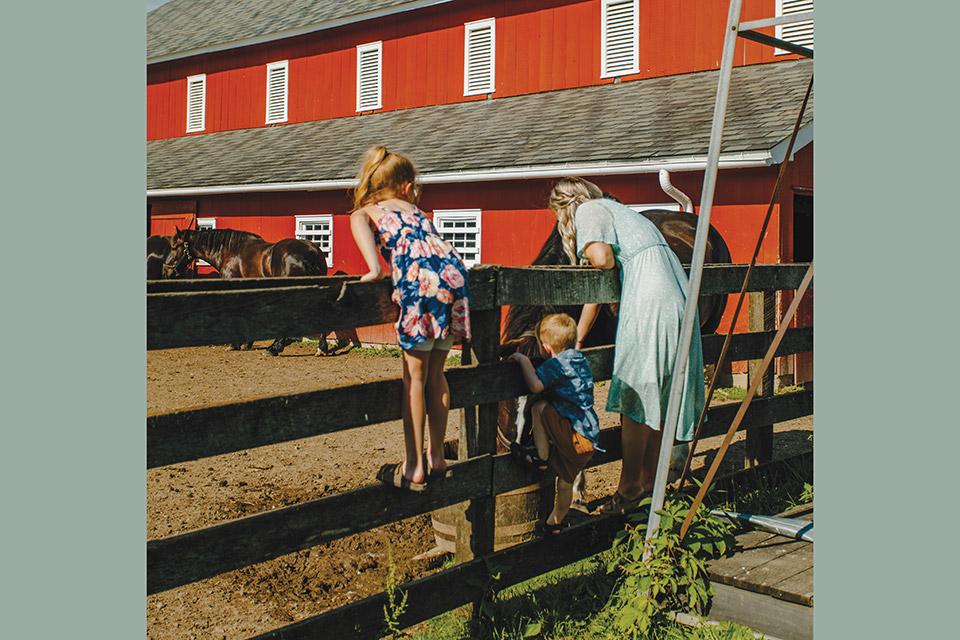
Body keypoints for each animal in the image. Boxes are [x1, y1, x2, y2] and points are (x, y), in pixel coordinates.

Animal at [165, 226, 330, 358]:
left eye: (174, 246)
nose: (166, 271)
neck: (230, 250)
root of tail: (310, 252)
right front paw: (247, 342)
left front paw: (235, 344)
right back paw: (321, 348)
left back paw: (274, 348)